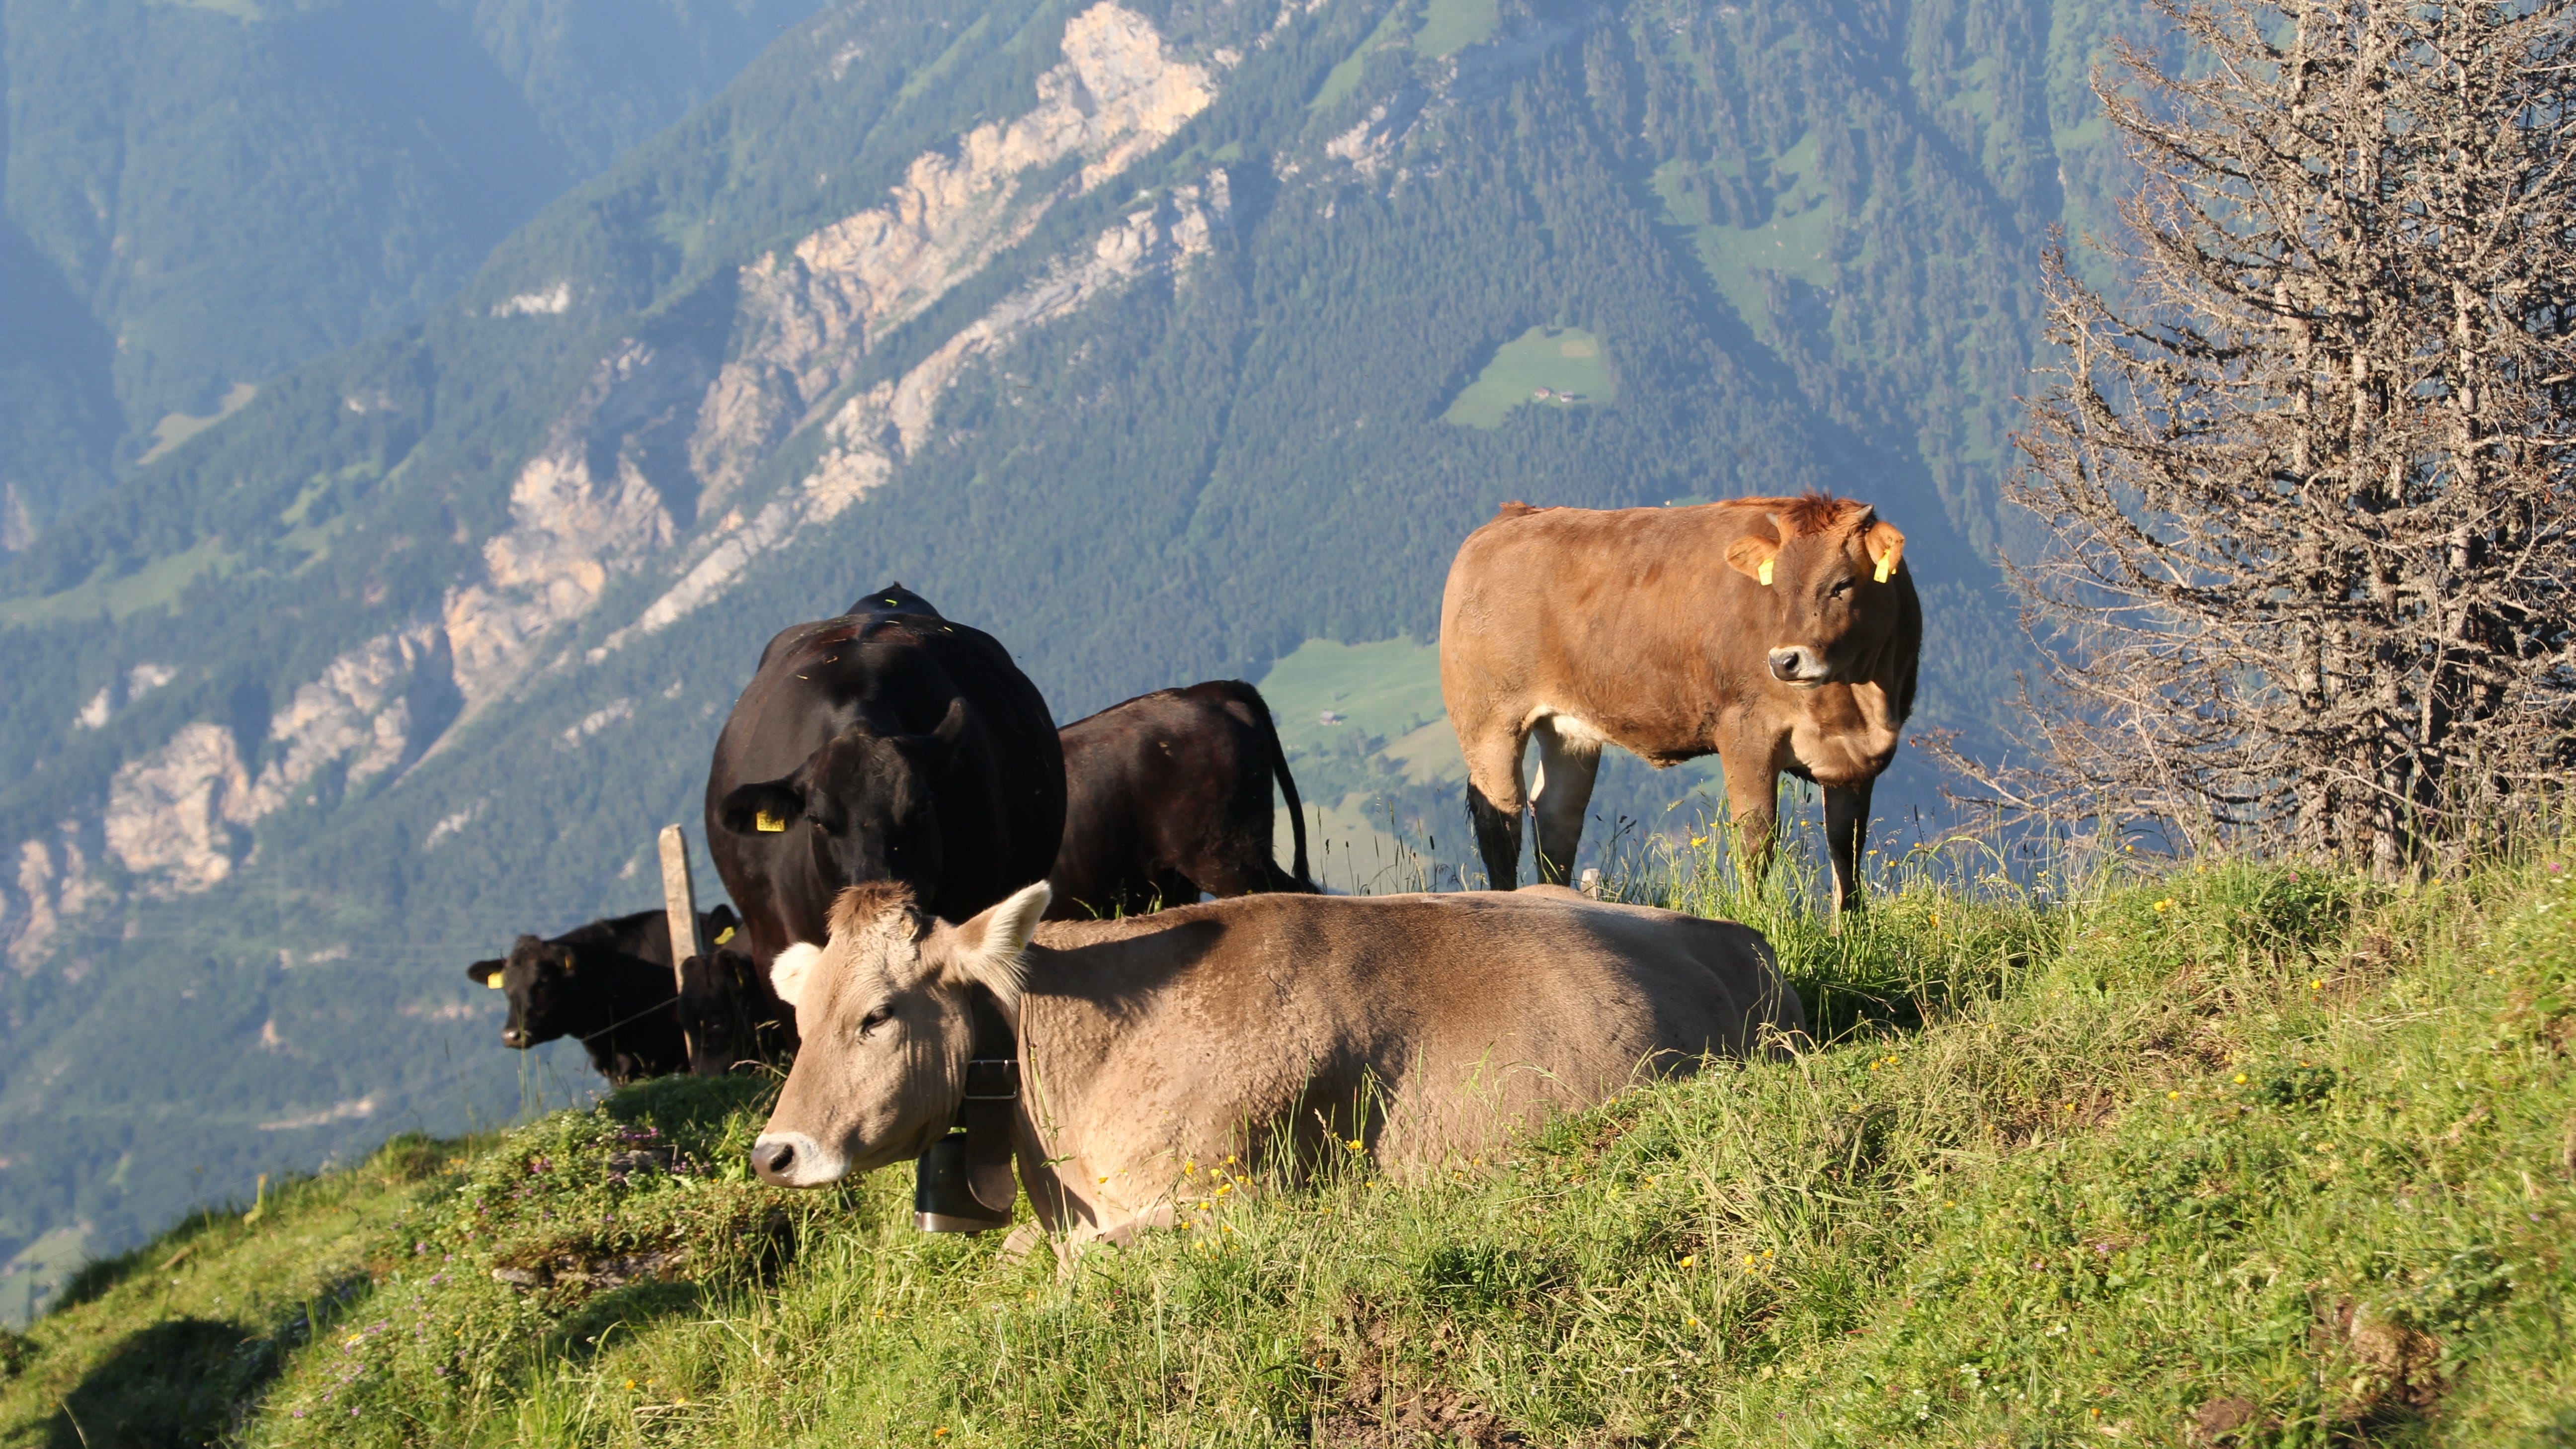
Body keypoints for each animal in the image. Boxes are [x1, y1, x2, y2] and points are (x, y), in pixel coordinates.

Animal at [1443, 490, 1927, 907]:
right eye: (1778, 587)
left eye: (1843, 584)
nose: (1785, 660)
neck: (1858, 700)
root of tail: (1508, 519)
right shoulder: (1745, 730)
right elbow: (1758, 835)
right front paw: (1757, 915)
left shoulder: (1854, 762)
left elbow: (1847, 849)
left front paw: (1849, 932)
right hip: (1489, 720)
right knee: (1500, 813)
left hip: (1568, 730)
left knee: (1557, 815)